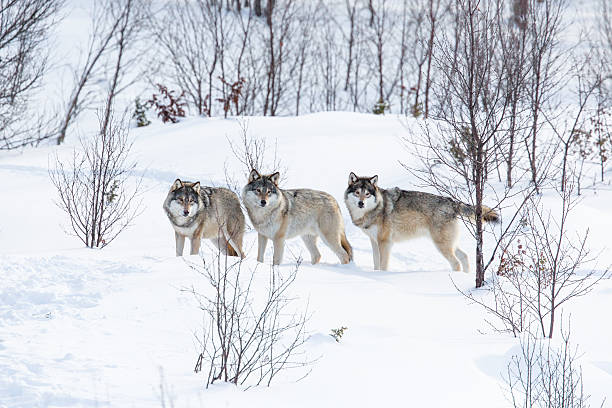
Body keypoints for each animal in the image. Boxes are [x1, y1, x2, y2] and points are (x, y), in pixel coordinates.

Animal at [344, 172, 498, 270]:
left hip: (441, 245)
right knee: (465, 257)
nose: (361, 203)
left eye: (367, 194)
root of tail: (452, 202)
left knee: (456, 263)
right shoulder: (374, 241)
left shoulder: (385, 243)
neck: (375, 209)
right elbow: (376, 264)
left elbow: (383, 266)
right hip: (449, 243)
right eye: (357, 193)